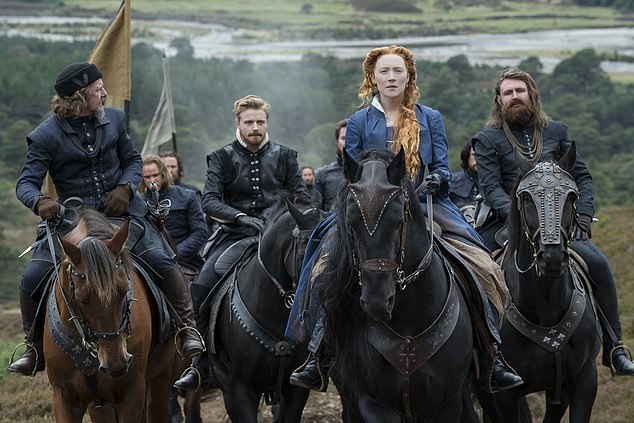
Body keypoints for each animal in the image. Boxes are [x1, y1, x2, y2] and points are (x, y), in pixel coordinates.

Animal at [43, 210, 175, 422]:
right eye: (81, 299)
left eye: (124, 290)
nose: (117, 364)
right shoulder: (64, 398)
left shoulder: (131, 394)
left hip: (160, 379)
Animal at [478, 144, 596, 422]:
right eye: (527, 198)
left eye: (571, 197)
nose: (551, 258)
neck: (545, 307)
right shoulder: (506, 395)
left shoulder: (582, 382)